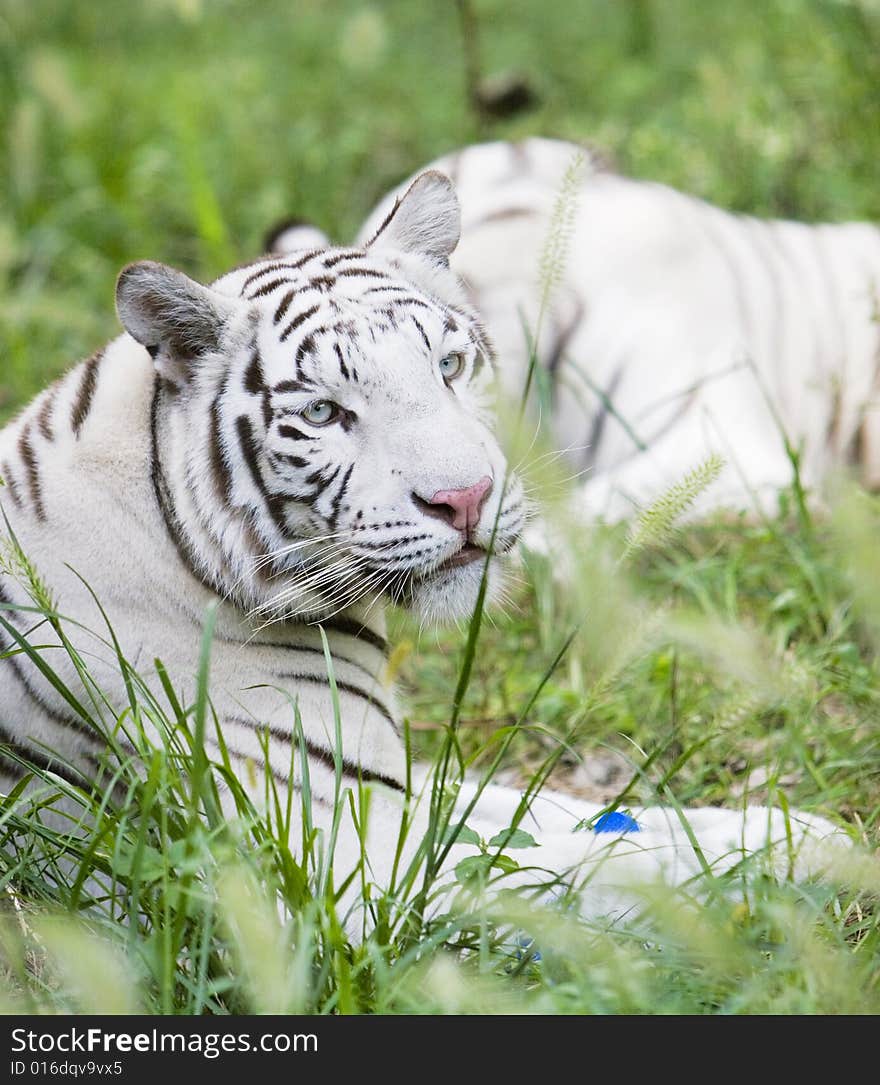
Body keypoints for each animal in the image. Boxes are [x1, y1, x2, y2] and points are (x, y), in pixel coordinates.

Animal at [0, 169, 850, 933]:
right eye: (324, 413)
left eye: (449, 366)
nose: (465, 497)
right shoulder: (343, 864)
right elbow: (595, 867)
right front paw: (799, 863)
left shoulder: (396, 789)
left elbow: (581, 814)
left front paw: (801, 831)